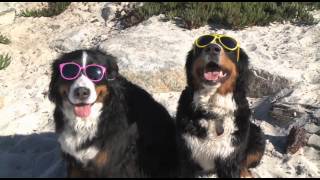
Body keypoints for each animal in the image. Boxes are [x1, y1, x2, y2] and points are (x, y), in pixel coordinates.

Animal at [176, 33, 266, 177]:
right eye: (203, 43)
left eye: (228, 45)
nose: (212, 48)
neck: (212, 110)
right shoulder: (187, 157)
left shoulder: (230, 157)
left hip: (257, 135)